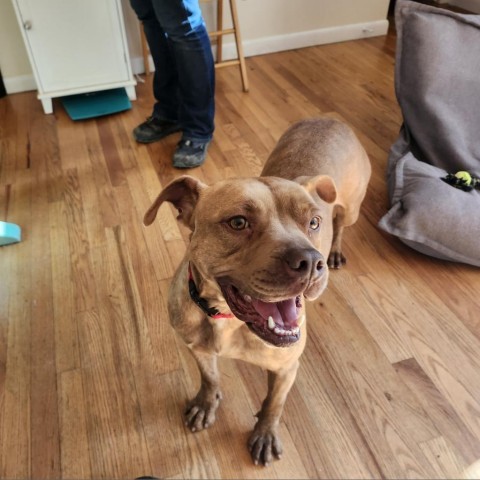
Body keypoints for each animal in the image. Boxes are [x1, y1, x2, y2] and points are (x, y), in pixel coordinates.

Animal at [144, 115, 370, 464]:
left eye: (314, 223)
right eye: (238, 222)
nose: (311, 262)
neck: (226, 318)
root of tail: (330, 118)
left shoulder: (286, 368)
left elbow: (273, 404)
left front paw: (264, 433)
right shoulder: (197, 348)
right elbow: (210, 378)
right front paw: (206, 403)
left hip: (352, 208)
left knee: (342, 224)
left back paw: (335, 250)